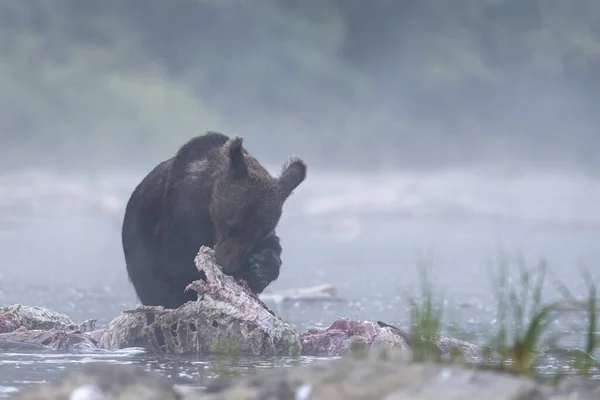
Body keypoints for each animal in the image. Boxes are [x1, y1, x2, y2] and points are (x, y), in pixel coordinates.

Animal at [122, 131, 310, 310]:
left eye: (258, 234)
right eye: (232, 223)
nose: (228, 265)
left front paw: (260, 268)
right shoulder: (181, 221)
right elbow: (180, 266)